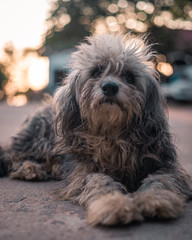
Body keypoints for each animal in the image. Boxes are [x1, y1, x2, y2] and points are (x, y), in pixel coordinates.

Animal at [0, 33, 192, 225]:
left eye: (129, 76)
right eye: (96, 72)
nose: (110, 87)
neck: (112, 133)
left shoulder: (167, 166)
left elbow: (162, 180)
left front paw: (155, 199)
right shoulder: (86, 169)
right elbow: (100, 182)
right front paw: (114, 203)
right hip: (38, 138)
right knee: (12, 155)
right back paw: (29, 169)